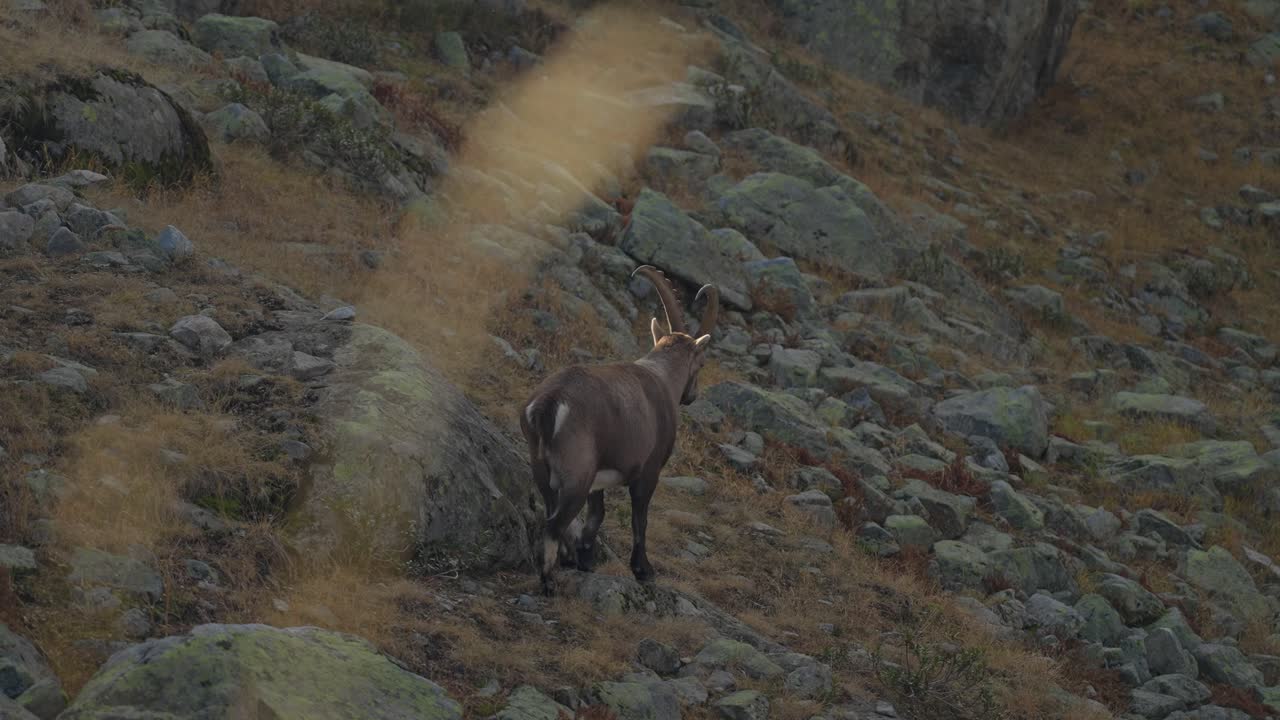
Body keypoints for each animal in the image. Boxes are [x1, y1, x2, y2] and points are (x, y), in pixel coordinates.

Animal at [520, 265, 720, 595]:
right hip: (576, 473)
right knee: (554, 524)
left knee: (551, 512)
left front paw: (586, 560)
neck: (661, 377)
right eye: (701, 363)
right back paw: (548, 582)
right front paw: (643, 570)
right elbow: (640, 520)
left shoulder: (598, 479)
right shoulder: (648, 471)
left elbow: (596, 515)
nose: (692, 396)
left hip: (543, 470)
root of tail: (547, 405)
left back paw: (565, 559)